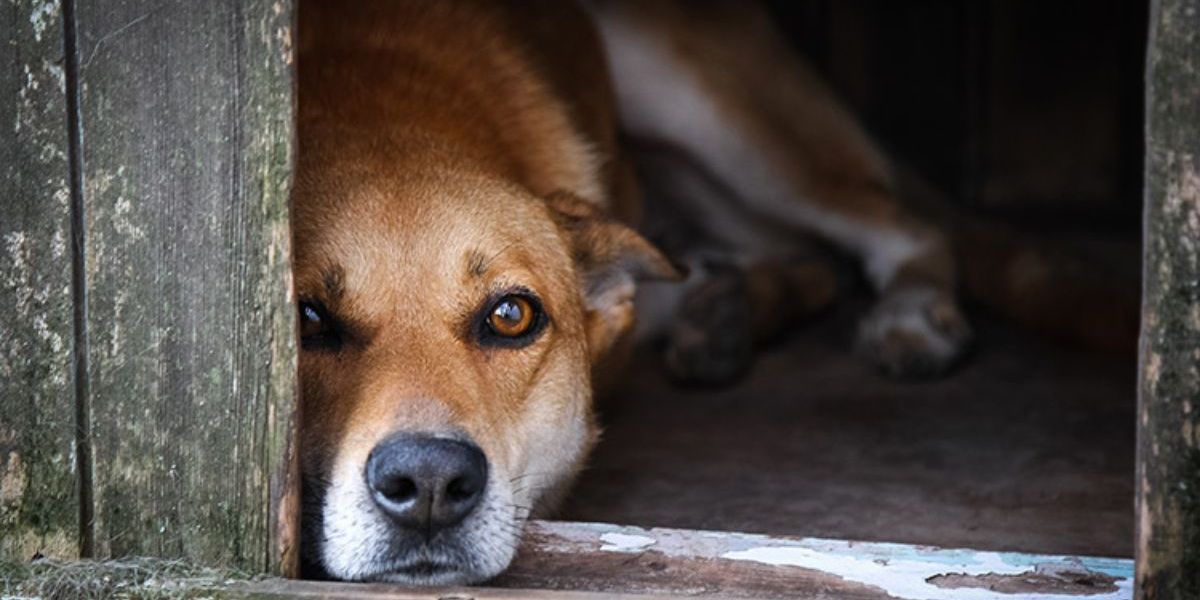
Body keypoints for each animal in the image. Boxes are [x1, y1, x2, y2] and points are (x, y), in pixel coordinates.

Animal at [292, 0, 1003, 585]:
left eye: (511, 315)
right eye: (307, 319)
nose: (431, 482)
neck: (377, 118)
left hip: (703, 106)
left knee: (900, 229)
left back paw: (913, 314)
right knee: (806, 262)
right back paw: (723, 320)